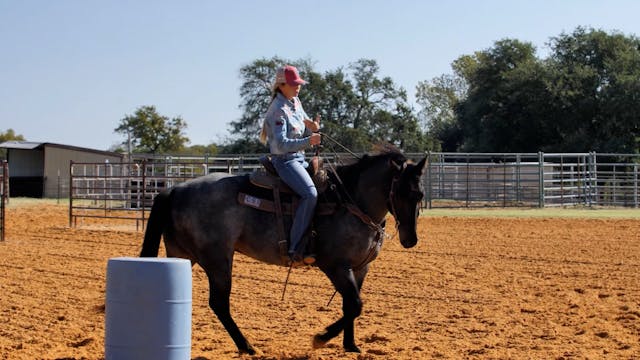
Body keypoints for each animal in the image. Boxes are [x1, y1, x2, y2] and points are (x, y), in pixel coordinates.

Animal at [142, 147, 428, 354]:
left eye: (420, 195)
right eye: (399, 192)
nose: (410, 239)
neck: (351, 202)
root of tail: (175, 189)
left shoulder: (360, 268)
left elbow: (351, 305)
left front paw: (351, 346)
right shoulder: (335, 266)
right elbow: (355, 305)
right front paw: (320, 338)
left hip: (183, 256)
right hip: (218, 260)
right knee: (219, 303)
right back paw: (247, 347)